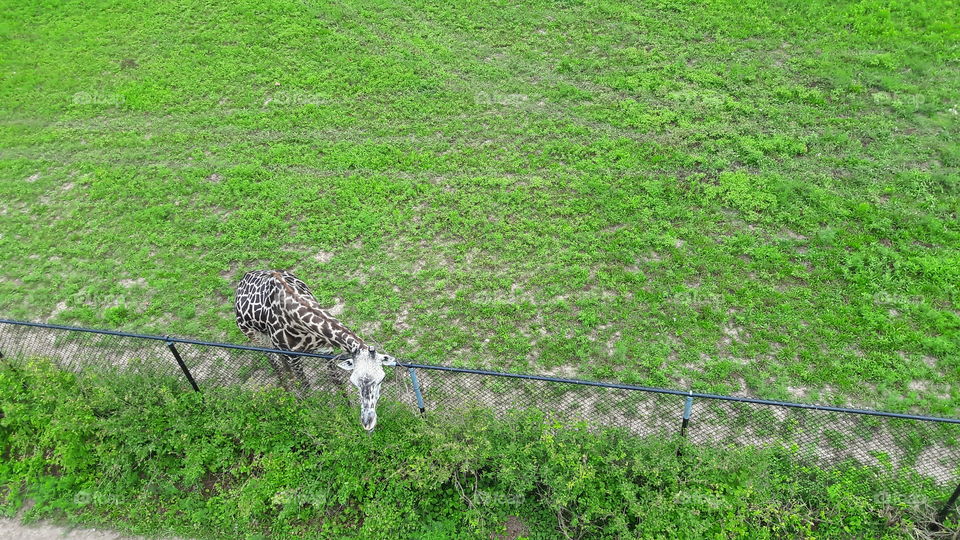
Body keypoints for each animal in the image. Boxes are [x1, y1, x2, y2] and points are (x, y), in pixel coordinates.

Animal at [234, 269, 396, 431]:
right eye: (354, 382)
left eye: (381, 379)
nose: (368, 423)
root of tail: (243, 277)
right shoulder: (294, 356)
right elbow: (306, 385)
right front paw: (310, 414)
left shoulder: (325, 351)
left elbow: (336, 380)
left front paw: (349, 411)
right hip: (255, 336)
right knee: (273, 362)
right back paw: (287, 393)